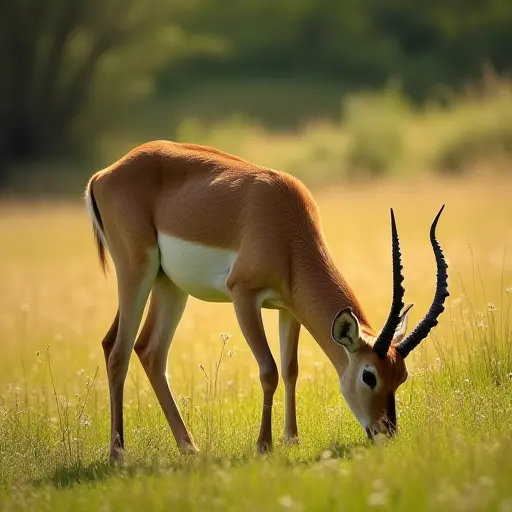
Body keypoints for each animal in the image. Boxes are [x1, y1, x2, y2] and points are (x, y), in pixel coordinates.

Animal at [85, 140, 448, 464]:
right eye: (368, 375)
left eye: (401, 376)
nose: (385, 432)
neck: (286, 228)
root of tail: (103, 175)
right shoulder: (243, 294)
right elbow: (269, 370)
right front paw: (264, 446)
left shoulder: (289, 308)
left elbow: (290, 369)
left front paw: (292, 439)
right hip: (137, 272)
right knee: (119, 352)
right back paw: (118, 455)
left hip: (169, 285)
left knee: (146, 350)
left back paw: (189, 448)